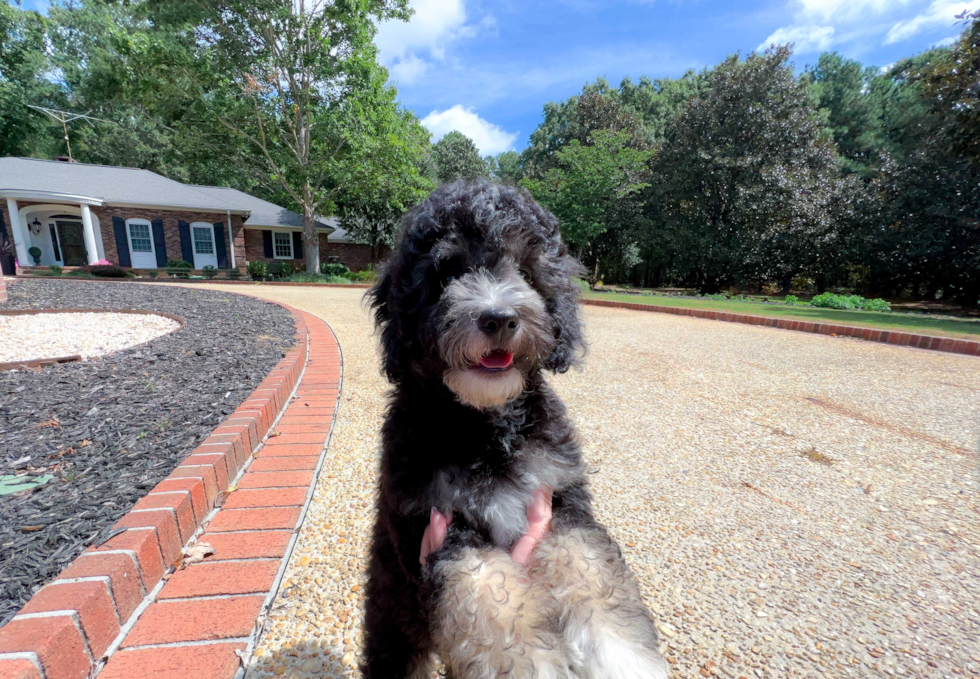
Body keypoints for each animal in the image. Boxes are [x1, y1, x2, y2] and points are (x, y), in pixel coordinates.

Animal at [364, 182, 668, 679]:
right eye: (447, 272)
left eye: (526, 271)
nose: (499, 318)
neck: (485, 425)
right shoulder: (438, 526)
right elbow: (491, 602)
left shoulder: (561, 502)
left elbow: (593, 575)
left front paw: (625, 661)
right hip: (394, 621)